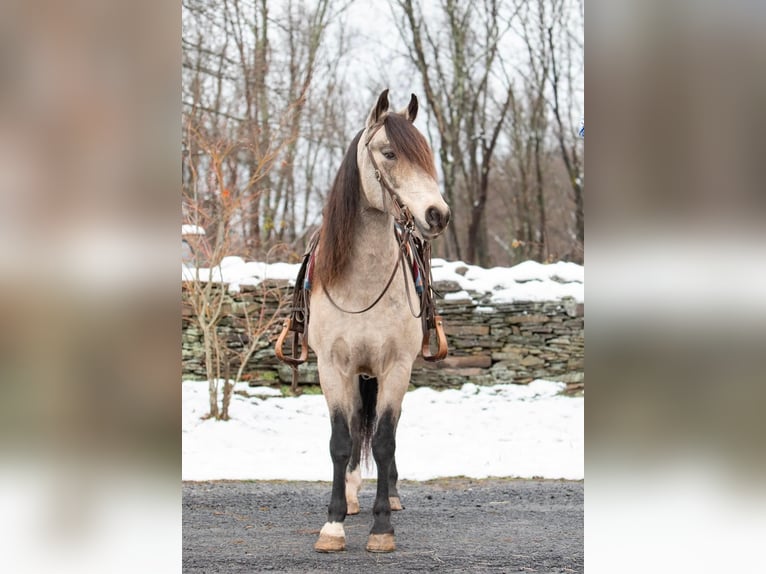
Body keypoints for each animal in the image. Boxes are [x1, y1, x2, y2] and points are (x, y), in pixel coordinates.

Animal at [280, 89, 452, 552]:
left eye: (427, 155)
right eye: (389, 153)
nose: (437, 214)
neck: (362, 282)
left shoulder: (396, 367)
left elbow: (384, 441)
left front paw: (381, 528)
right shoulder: (332, 368)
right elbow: (342, 442)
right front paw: (334, 524)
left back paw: (387, 496)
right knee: (359, 425)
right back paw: (354, 495)